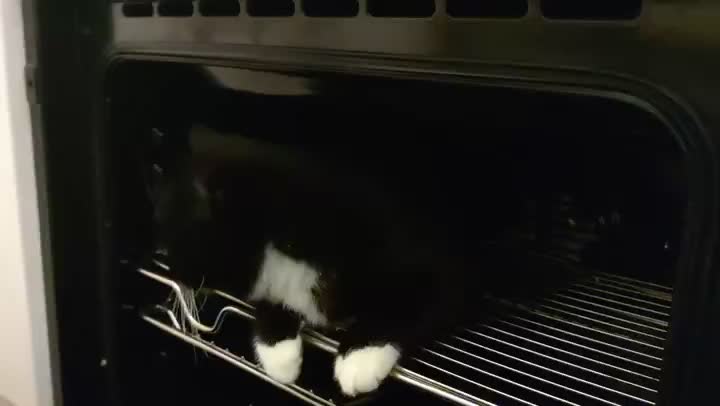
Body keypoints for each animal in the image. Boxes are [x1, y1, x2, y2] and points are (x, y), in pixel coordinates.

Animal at [147, 126, 469, 397]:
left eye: (173, 247)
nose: (170, 272)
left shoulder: (436, 268)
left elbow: (404, 303)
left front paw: (360, 356)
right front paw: (279, 354)